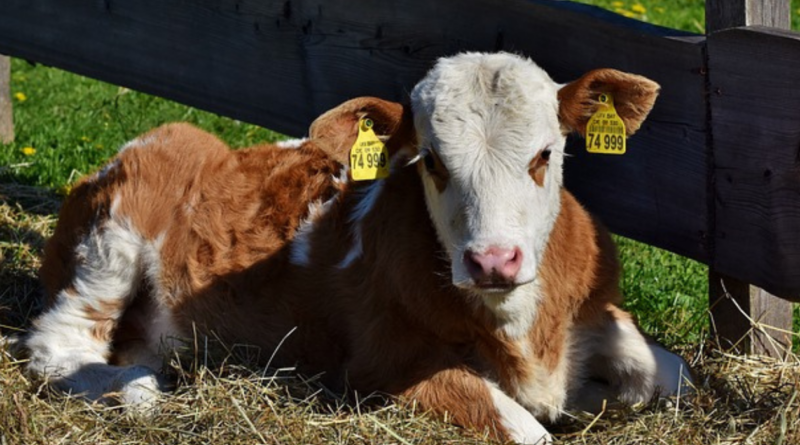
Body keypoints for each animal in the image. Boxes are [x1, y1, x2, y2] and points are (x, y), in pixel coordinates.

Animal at [25, 51, 692, 440]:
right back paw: (138, 392)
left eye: (545, 154)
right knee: (56, 345)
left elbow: (672, 374)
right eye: (432, 162)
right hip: (111, 242)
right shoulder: (384, 363)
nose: (492, 261)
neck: (524, 331)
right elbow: (525, 429)